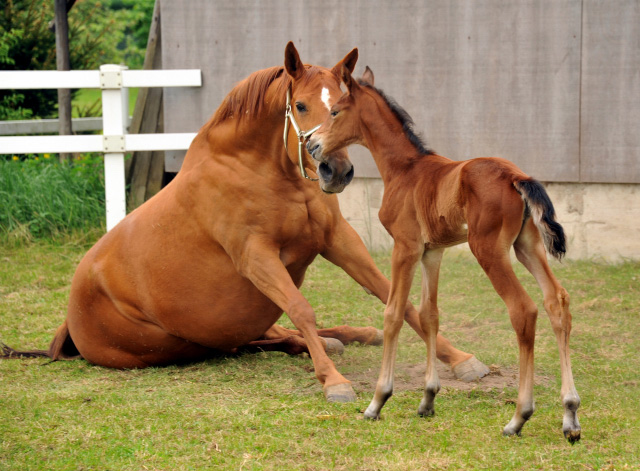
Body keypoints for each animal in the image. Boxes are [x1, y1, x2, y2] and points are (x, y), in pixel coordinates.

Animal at [308, 67, 584, 442]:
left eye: (335, 111)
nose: (311, 143)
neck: (405, 169)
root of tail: (517, 176)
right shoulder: (432, 253)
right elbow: (429, 315)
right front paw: (427, 399)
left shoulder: (405, 247)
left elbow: (394, 313)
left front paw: (377, 402)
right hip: (526, 246)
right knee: (557, 300)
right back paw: (570, 415)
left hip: (488, 249)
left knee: (523, 309)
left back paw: (519, 417)